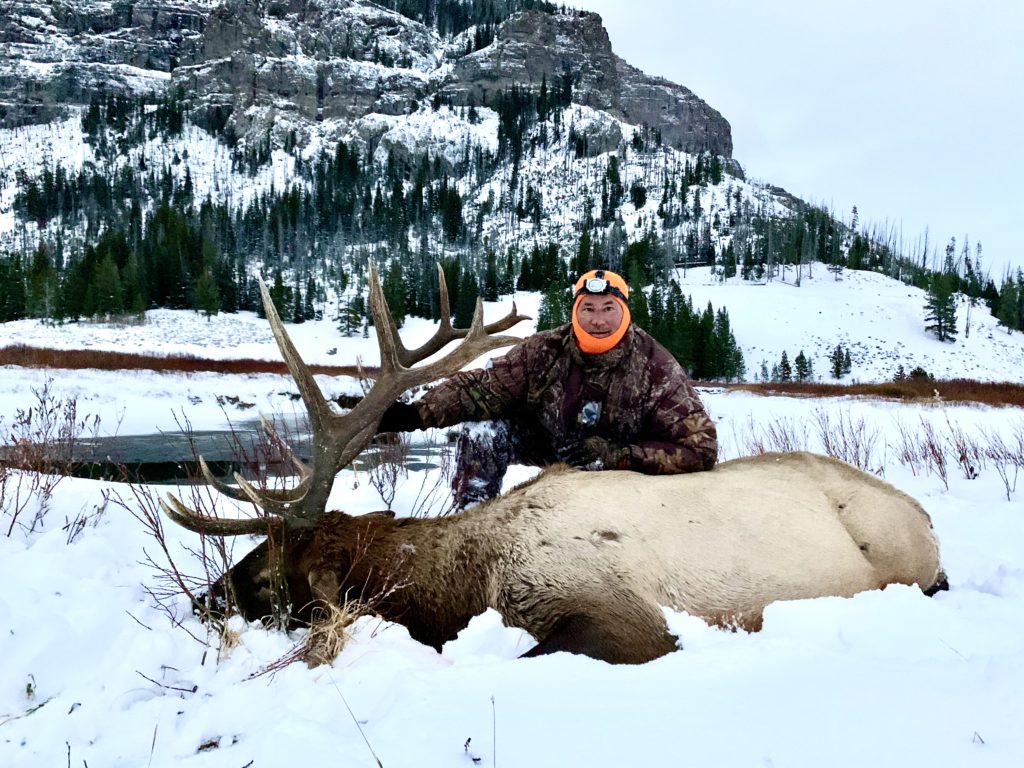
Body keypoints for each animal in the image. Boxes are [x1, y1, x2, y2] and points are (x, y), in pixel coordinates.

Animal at [162, 265, 945, 665]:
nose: (201, 602)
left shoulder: (627, 618)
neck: (468, 580)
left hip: (897, 554)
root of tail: (928, 519)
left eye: (268, 573)